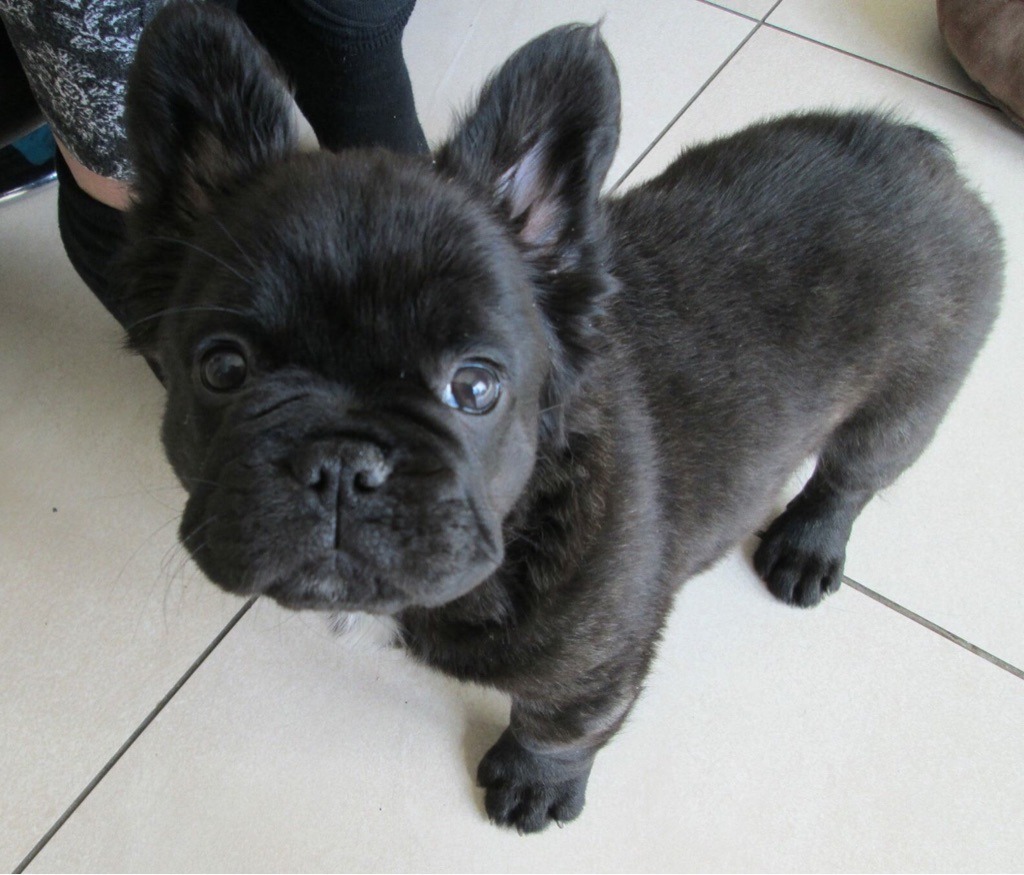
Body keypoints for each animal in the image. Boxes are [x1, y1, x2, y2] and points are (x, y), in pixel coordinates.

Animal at [121, 1, 999, 836]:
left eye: (475, 387)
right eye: (223, 368)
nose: (341, 460)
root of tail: (918, 148)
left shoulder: (596, 659)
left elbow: (562, 722)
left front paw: (533, 783)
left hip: (909, 396)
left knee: (853, 474)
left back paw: (807, 544)